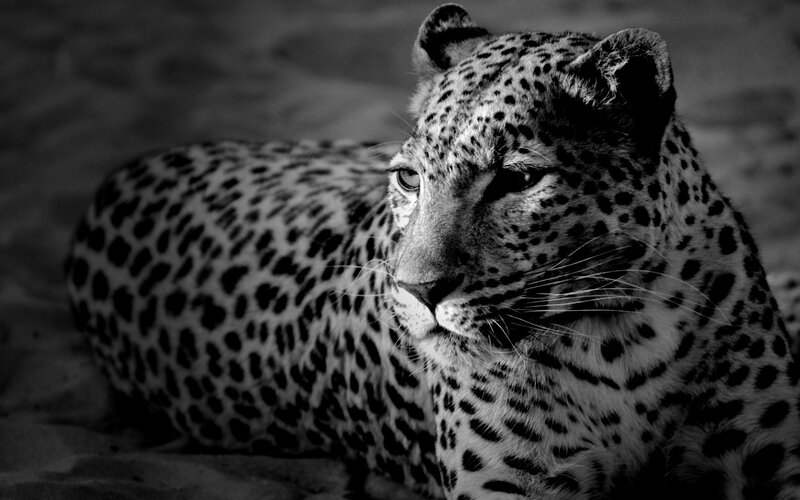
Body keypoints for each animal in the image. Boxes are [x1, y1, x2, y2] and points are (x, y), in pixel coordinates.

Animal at [66, 4, 800, 499]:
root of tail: (126, 172)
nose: (418, 292)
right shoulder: (513, 488)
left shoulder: (772, 457)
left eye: (517, 181)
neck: (624, 338)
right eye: (408, 178)